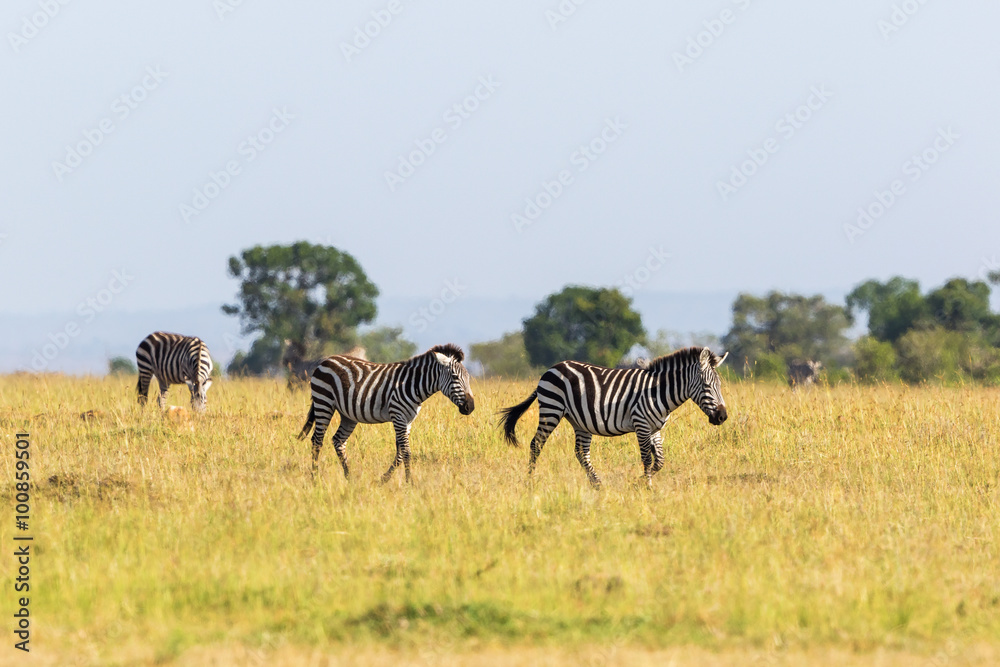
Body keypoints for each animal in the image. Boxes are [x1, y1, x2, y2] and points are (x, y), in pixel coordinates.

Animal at [297, 343, 474, 483]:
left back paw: (349, 477)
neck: (412, 385)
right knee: (317, 441)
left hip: (347, 415)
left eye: (468, 378)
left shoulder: (408, 421)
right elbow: (406, 452)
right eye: (454, 377)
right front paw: (410, 483)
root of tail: (326, 360)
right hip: (324, 401)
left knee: (338, 440)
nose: (470, 407)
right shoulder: (398, 416)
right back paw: (315, 478)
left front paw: (383, 480)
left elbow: (401, 453)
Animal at [500, 346, 728, 489]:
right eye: (707, 386)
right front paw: (647, 487)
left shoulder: (655, 428)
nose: (723, 417)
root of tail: (552, 368)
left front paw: (639, 482)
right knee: (536, 444)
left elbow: (660, 461)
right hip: (551, 409)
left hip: (580, 421)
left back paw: (597, 485)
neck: (658, 391)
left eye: (719, 385)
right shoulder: (641, 423)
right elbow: (647, 459)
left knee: (581, 453)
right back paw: (530, 482)